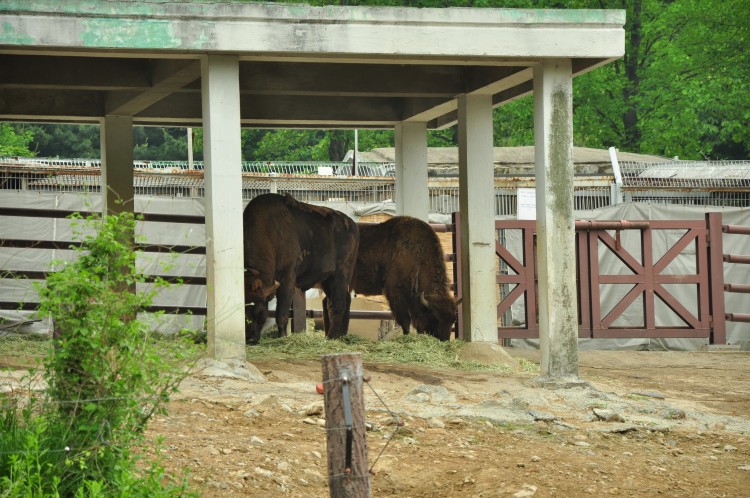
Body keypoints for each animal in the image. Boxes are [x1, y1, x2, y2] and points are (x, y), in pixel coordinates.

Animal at [241, 193, 358, 344]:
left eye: (256, 308)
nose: (249, 338)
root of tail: (352, 224)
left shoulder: (286, 281)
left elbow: (281, 314)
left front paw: (282, 337)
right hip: (328, 281)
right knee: (339, 302)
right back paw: (339, 335)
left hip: (340, 276)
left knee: (338, 305)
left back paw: (331, 337)